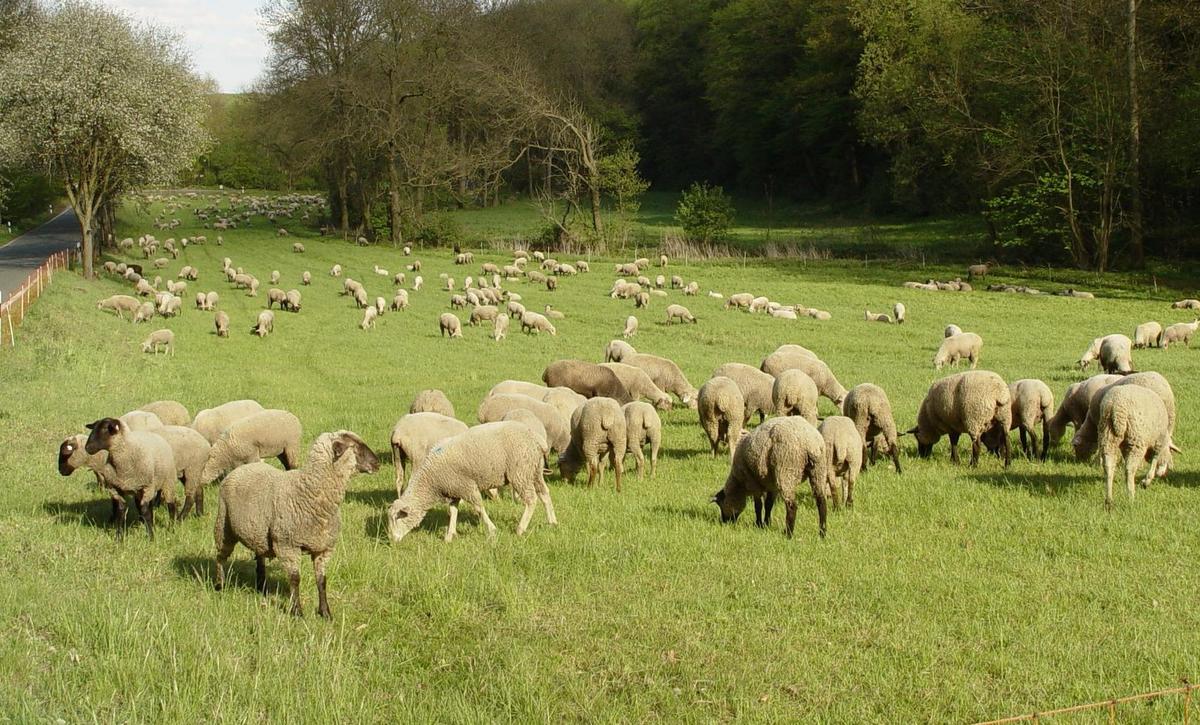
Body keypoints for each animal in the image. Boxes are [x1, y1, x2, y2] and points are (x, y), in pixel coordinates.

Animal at [215, 431, 379, 617]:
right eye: (355, 447)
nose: (377, 463)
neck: (309, 492)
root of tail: (241, 468)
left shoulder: (323, 549)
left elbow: (322, 581)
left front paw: (325, 613)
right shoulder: (288, 546)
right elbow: (295, 579)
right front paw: (297, 612)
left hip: (258, 533)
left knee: (259, 557)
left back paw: (261, 588)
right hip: (224, 525)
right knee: (220, 557)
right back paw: (220, 585)